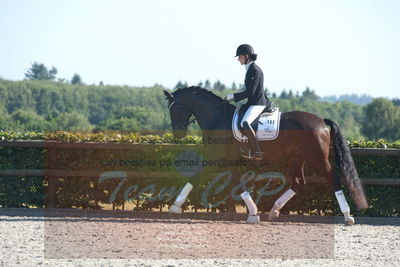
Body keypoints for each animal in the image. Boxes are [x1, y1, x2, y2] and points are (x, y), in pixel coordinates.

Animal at [163, 87, 368, 225]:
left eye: (176, 108)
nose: (178, 134)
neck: (217, 118)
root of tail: (321, 121)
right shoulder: (230, 160)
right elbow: (238, 183)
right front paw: (254, 213)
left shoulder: (216, 158)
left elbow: (195, 177)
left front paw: (174, 207)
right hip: (298, 157)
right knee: (298, 182)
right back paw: (274, 210)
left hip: (317, 157)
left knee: (332, 178)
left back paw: (348, 216)